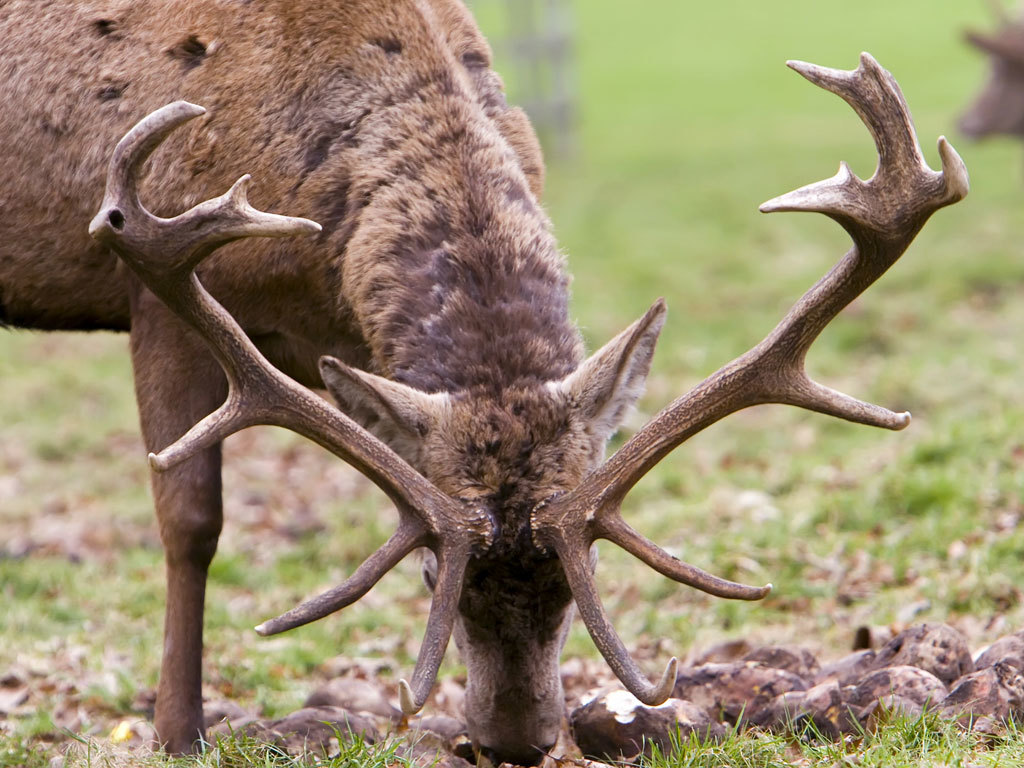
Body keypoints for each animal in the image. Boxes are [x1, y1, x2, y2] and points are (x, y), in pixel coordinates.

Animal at [1, 0, 966, 761]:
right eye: (434, 574)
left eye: (579, 585)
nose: (513, 745)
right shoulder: (155, 279)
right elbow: (191, 517)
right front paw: (179, 733)